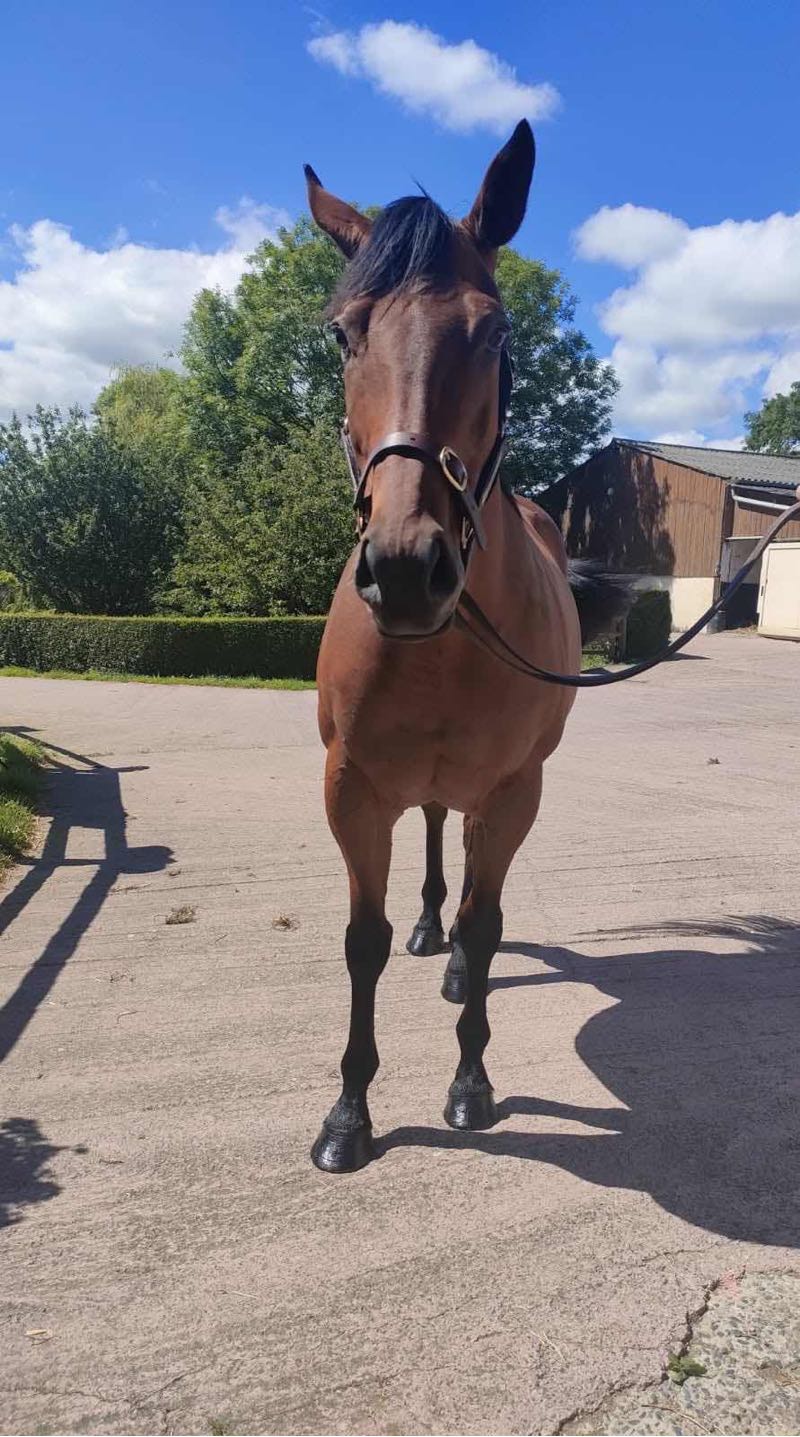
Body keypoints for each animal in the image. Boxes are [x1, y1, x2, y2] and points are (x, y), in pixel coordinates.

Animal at [305, 120, 620, 1172]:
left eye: (496, 333)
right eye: (344, 332)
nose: (407, 567)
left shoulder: (513, 789)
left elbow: (488, 930)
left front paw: (472, 1082)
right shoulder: (352, 786)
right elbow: (361, 938)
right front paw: (349, 1113)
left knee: (477, 882)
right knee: (440, 830)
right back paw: (427, 932)